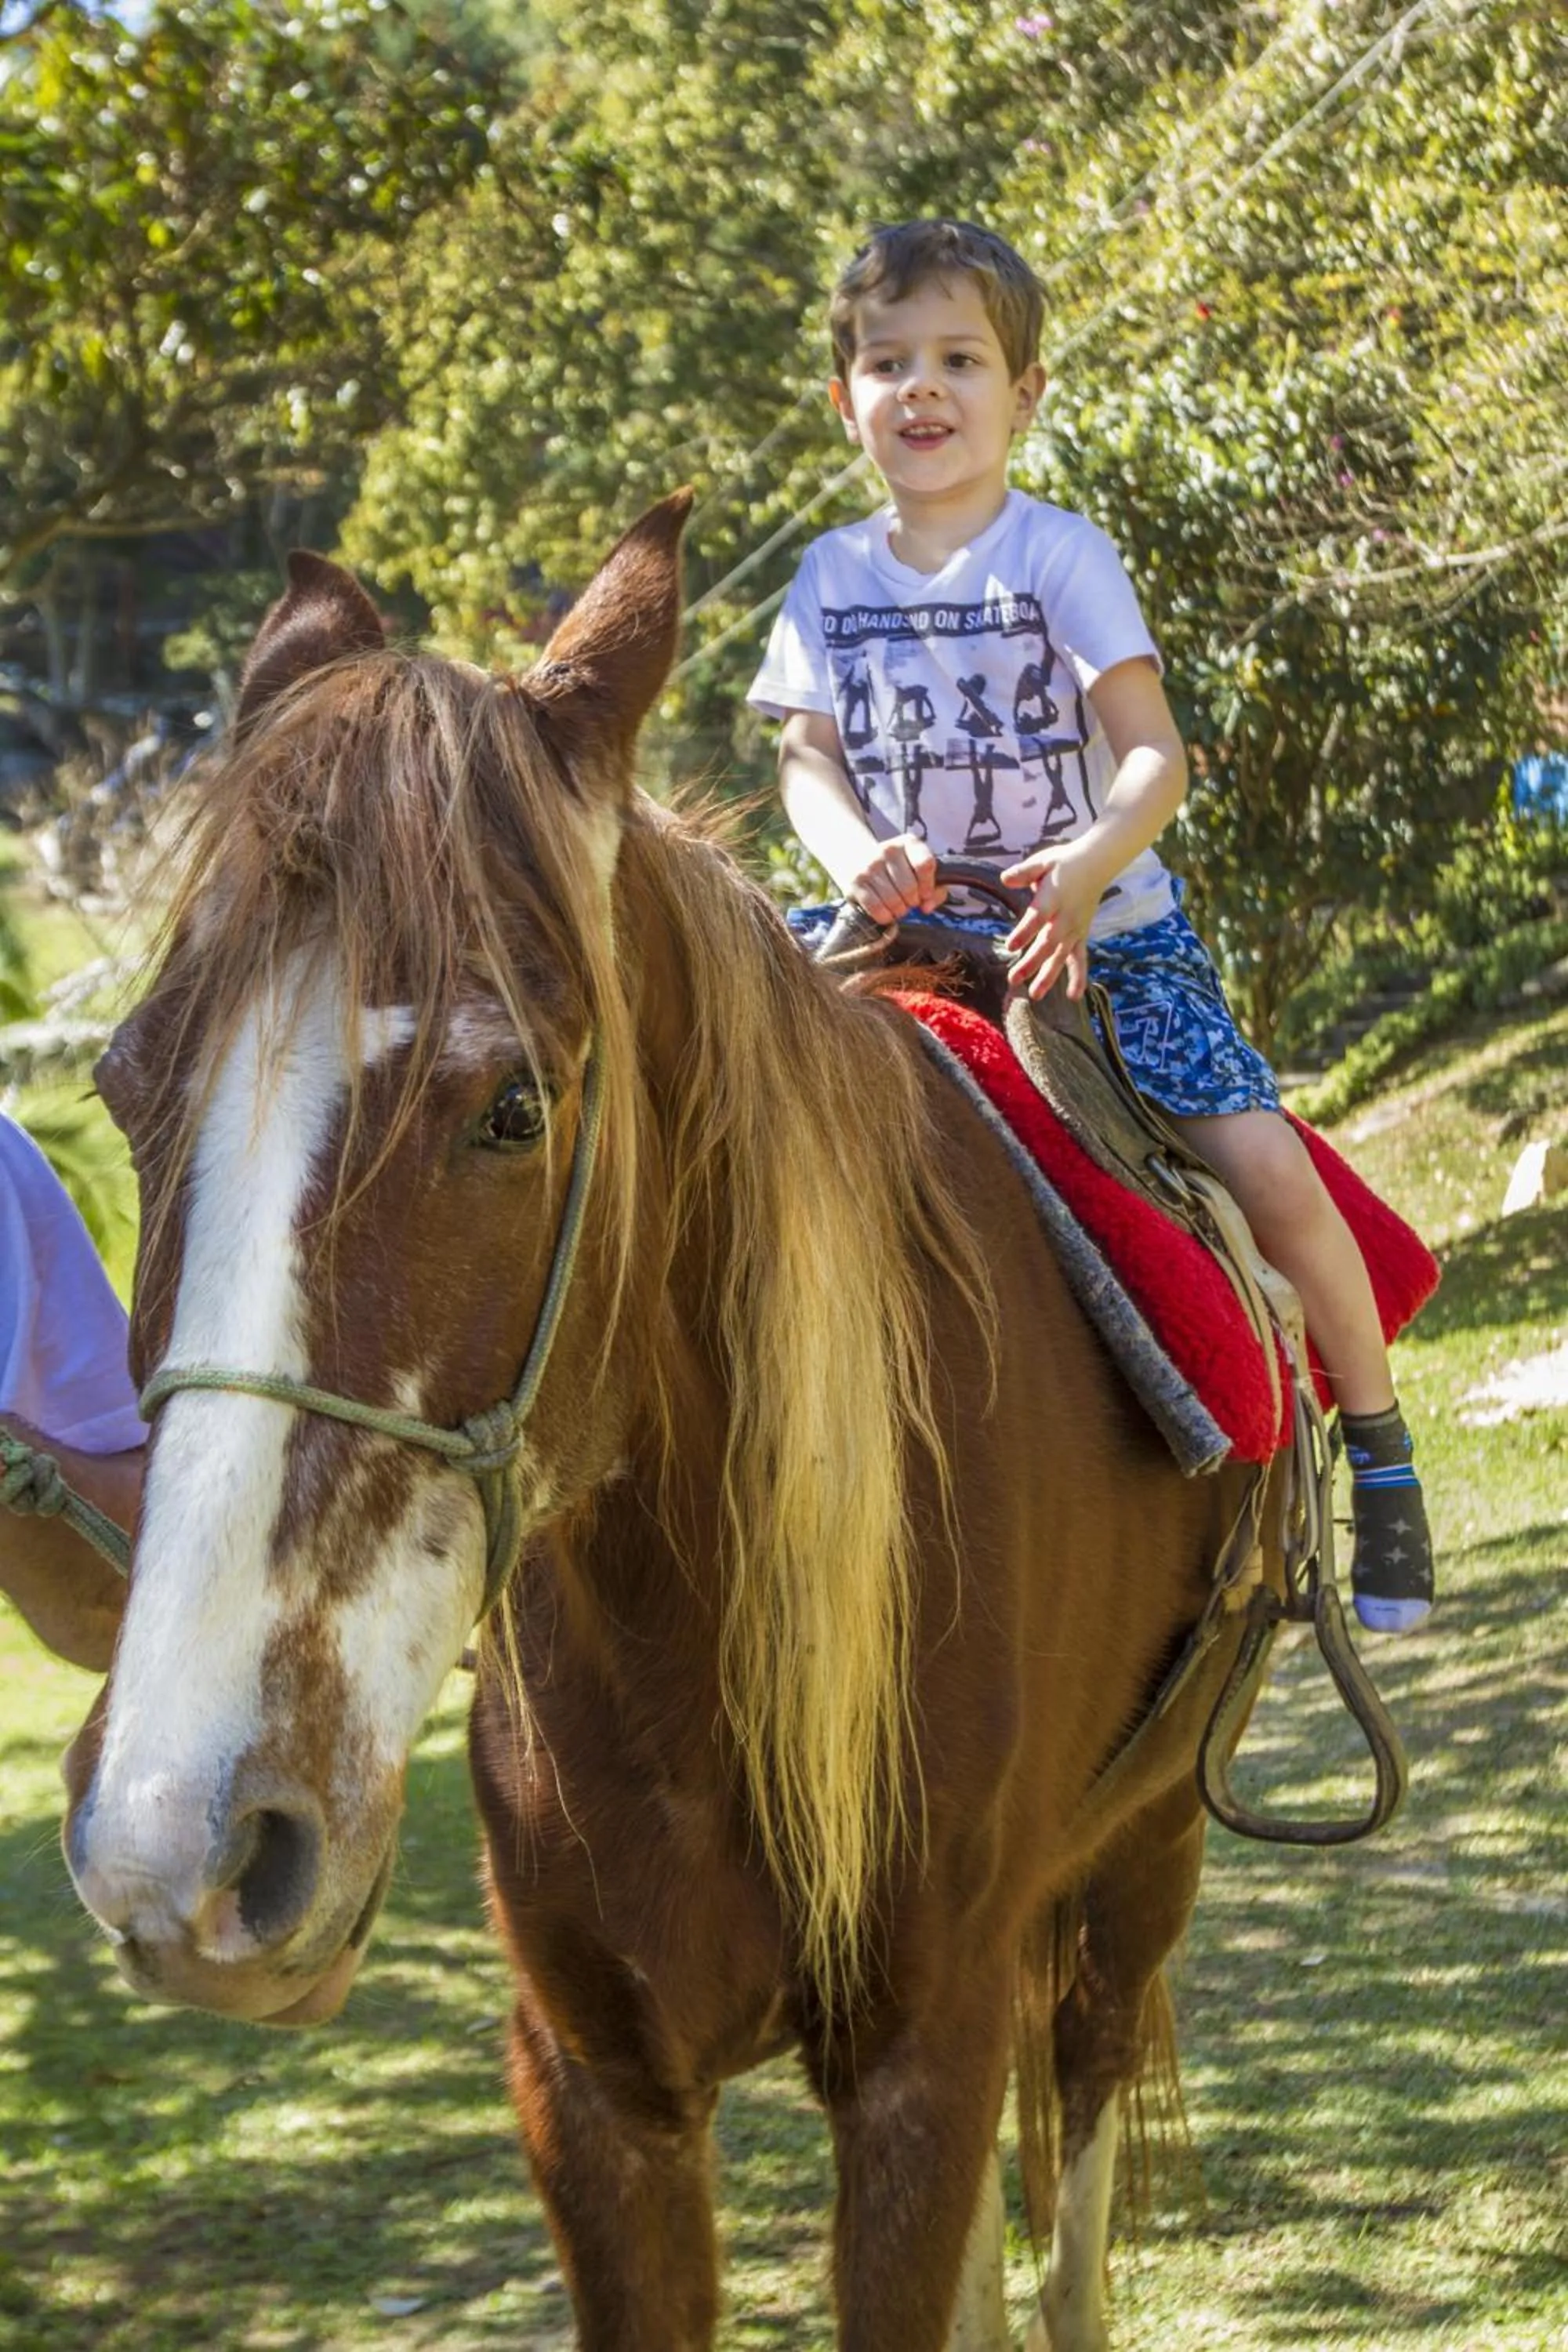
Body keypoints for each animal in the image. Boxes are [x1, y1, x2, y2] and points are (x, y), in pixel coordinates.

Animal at [54, 493, 1281, 2352]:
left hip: (1136, 1866)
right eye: (123, 1088)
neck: (688, 1644)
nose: (175, 1842)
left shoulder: (921, 2061)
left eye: (512, 1108)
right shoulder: (596, 2095)